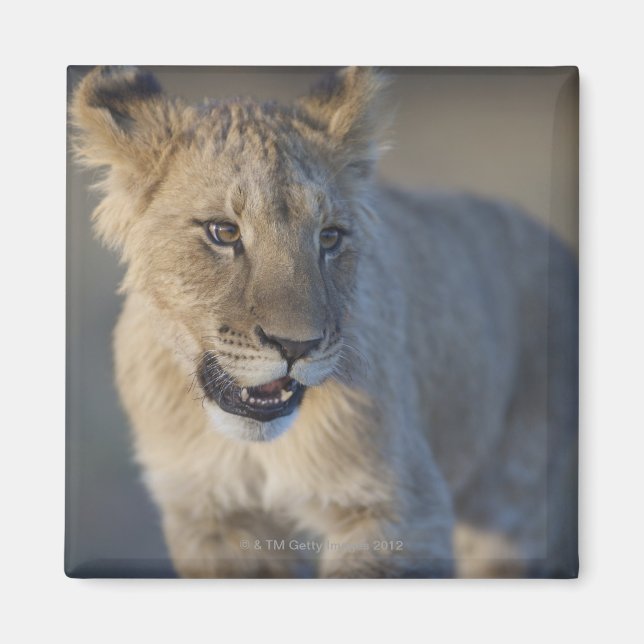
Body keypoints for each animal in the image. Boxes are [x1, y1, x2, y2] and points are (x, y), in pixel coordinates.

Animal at [70, 66, 578, 578]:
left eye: (329, 238)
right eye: (224, 232)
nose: (296, 347)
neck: (254, 450)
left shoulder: (402, 509)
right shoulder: (209, 515)